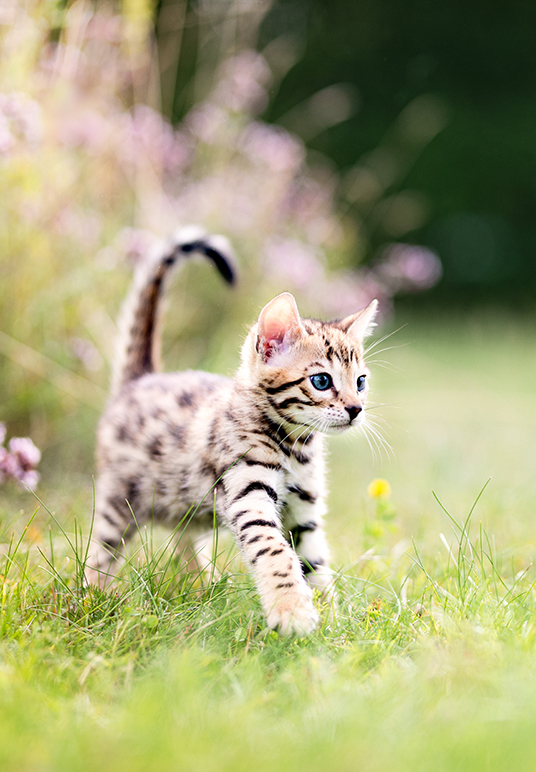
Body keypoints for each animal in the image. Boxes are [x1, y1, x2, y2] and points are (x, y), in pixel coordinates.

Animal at [87, 228, 376, 632]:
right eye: (321, 381)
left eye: (361, 382)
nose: (355, 409)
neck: (295, 448)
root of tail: (141, 378)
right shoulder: (248, 495)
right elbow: (275, 554)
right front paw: (292, 611)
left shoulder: (304, 511)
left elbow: (315, 563)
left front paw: (332, 618)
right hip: (119, 498)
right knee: (101, 552)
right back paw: (94, 598)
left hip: (183, 507)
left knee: (184, 542)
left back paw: (201, 589)